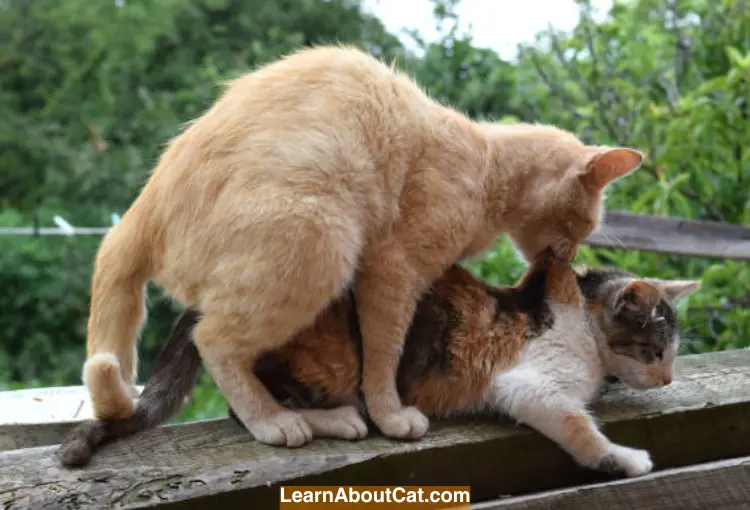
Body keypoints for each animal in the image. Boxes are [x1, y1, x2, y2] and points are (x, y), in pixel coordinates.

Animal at [61, 249, 704, 476]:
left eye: (672, 353)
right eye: (655, 349)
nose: (668, 376)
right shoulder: (527, 384)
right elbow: (578, 425)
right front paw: (627, 458)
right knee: (248, 410)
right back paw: (333, 420)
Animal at [83, 42, 648, 446]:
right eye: (584, 225)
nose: (572, 256)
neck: (486, 167)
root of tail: (140, 213)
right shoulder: (391, 271)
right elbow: (383, 356)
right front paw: (390, 416)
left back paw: (331, 420)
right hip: (320, 240)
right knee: (214, 342)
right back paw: (276, 423)